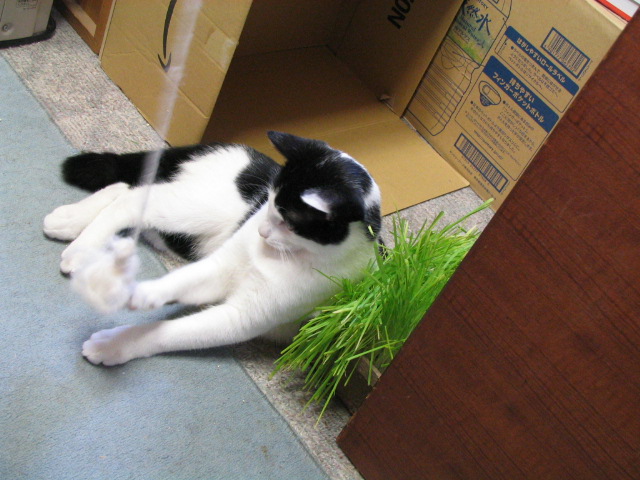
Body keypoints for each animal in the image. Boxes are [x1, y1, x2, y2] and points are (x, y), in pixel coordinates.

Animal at [43, 131, 382, 366]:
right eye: (270, 202)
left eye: (288, 220)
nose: (261, 231)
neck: (280, 255)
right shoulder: (222, 265)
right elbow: (177, 281)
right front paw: (135, 293)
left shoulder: (240, 316)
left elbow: (171, 331)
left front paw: (113, 345)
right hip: (197, 208)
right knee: (134, 195)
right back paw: (80, 245)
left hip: (188, 231)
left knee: (127, 191)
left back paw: (70, 224)